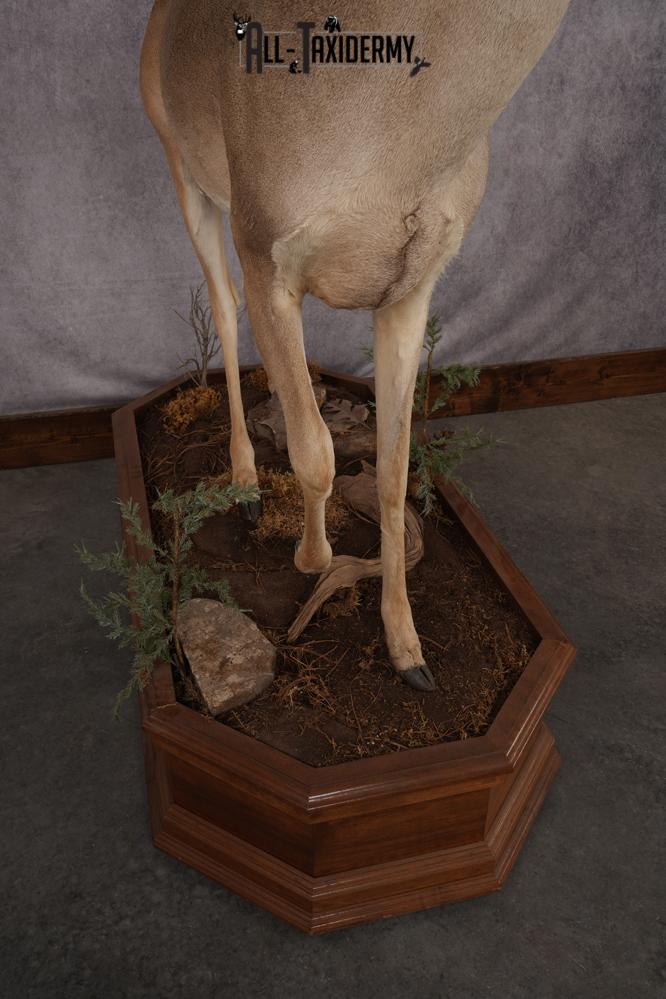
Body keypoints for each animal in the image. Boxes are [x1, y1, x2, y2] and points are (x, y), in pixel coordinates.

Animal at [140, 1, 571, 691]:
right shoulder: (267, 254)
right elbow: (315, 454)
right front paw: (311, 557)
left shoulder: (411, 287)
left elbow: (394, 472)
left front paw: (408, 648)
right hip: (183, 166)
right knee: (225, 309)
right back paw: (247, 485)